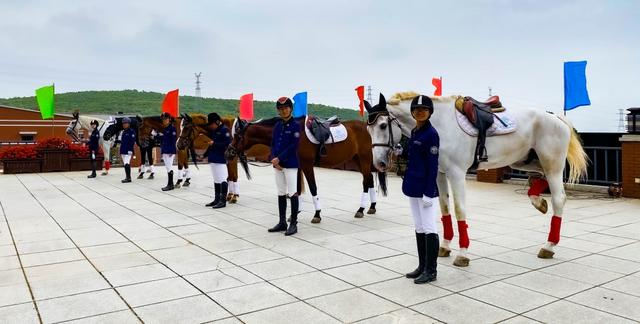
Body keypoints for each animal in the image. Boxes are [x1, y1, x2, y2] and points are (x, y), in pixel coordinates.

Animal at [226, 115, 384, 224]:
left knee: (366, 181)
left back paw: (361, 210)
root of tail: (367, 128)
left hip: (364, 159)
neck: (295, 136)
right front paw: (294, 214)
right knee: (369, 179)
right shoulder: (297, 166)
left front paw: (317, 215)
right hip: (357, 159)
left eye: (237, 135)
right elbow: (296, 190)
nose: (228, 152)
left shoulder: (307, 165)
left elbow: (313, 188)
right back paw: (372, 207)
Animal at [368, 92, 588, 268]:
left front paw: (463, 254)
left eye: (383, 125)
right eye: (369, 130)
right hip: (527, 161)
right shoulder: (439, 173)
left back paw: (549, 245)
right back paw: (538, 201)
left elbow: (459, 210)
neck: (439, 124)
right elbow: (445, 209)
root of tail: (556, 117)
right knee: (541, 179)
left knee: (559, 198)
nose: (379, 163)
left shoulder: (456, 173)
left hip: (553, 164)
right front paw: (445, 246)